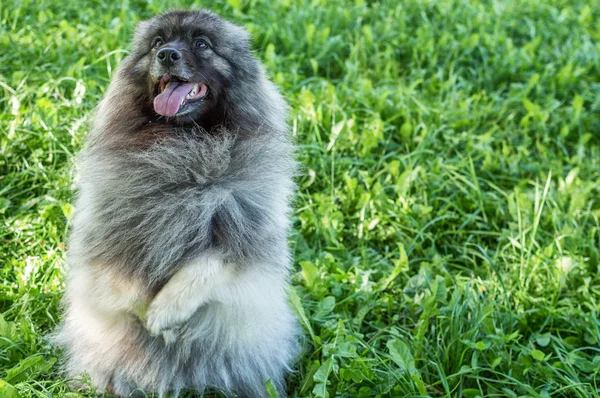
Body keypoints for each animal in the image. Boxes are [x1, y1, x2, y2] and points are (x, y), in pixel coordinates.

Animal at [56, 9, 300, 398]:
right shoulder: (114, 231)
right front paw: (145, 313)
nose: (167, 54)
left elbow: (204, 268)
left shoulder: (242, 237)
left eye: (202, 44)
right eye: (157, 42)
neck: (183, 148)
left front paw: (163, 315)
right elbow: (125, 274)